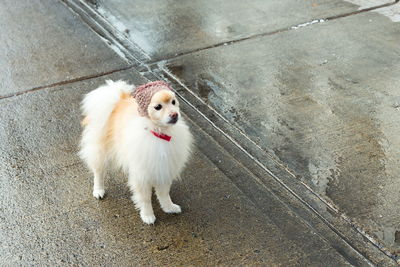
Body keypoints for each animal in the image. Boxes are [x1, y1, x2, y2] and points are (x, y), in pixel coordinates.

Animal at [79, 80, 192, 225]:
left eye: (173, 102)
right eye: (158, 107)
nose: (174, 115)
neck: (159, 133)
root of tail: (118, 100)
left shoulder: (164, 168)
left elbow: (164, 193)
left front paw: (168, 207)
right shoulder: (142, 175)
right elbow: (145, 198)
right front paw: (148, 215)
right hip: (101, 150)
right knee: (98, 171)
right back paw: (99, 190)